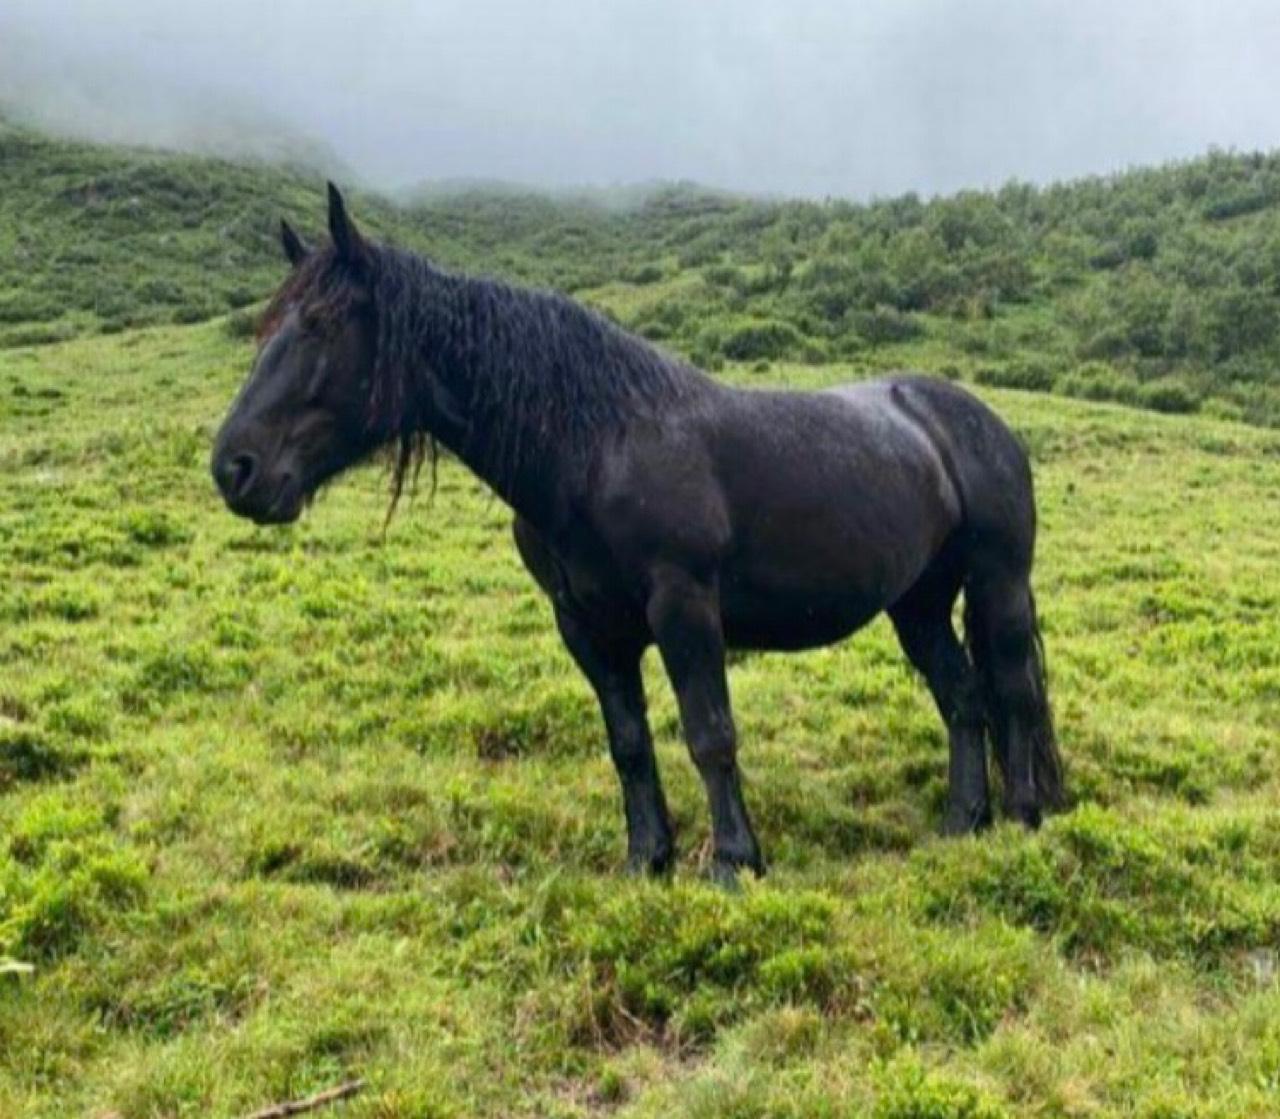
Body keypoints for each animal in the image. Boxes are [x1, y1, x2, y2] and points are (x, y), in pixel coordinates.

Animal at [215, 185, 1064, 880]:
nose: (234, 466)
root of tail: (972, 418)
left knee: (1015, 692)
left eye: (322, 324)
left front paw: (733, 863)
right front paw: (646, 859)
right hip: (916, 603)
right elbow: (628, 741)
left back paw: (1023, 817)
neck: (594, 446)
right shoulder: (587, 626)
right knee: (964, 698)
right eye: (267, 325)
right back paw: (963, 821)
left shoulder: (683, 606)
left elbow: (709, 732)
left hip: (997, 584)